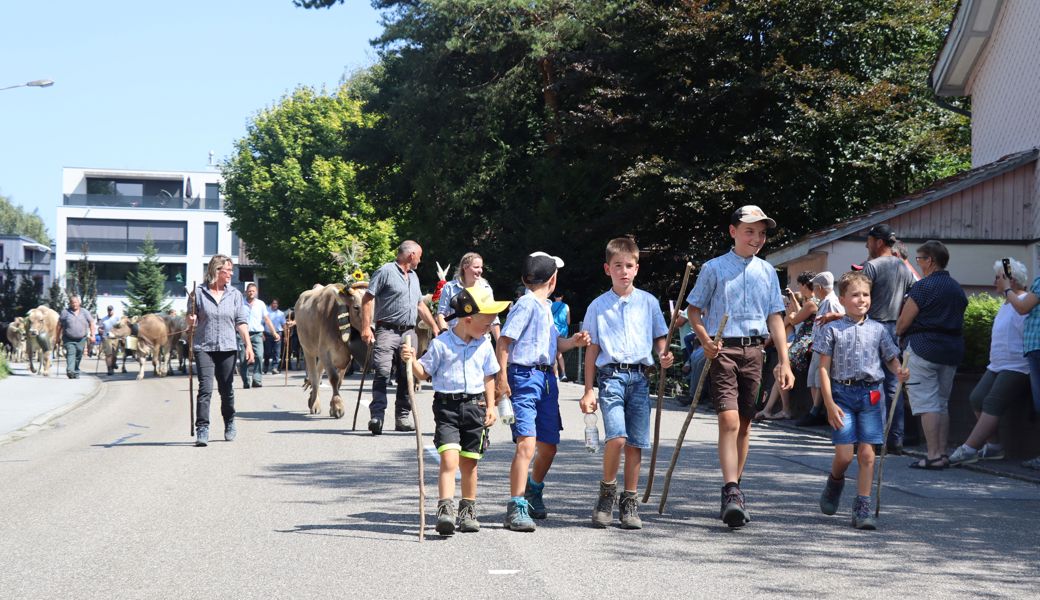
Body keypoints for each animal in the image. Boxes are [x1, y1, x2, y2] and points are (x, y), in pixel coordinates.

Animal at [293, 280, 370, 415]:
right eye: (356, 307)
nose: (371, 328)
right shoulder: (325, 351)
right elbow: (333, 378)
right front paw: (337, 406)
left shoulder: (346, 356)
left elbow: (339, 380)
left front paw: (334, 403)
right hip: (307, 349)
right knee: (314, 375)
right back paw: (314, 403)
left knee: (318, 373)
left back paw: (313, 397)